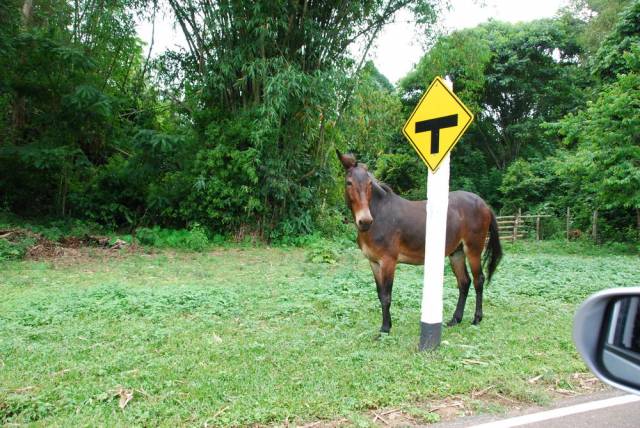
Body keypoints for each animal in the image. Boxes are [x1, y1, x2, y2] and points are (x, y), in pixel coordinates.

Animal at [338, 150, 502, 334]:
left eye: (369, 184)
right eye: (349, 183)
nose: (365, 221)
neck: (380, 215)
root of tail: (483, 204)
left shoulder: (388, 261)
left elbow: (387, 296)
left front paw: (385, 329)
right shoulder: (373, 262)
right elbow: (380, 294)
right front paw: (386, 326)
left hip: (473, 250)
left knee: (478, 280)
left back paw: (476, 319)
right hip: (456, 252)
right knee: (464, 282)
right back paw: (455, 319)